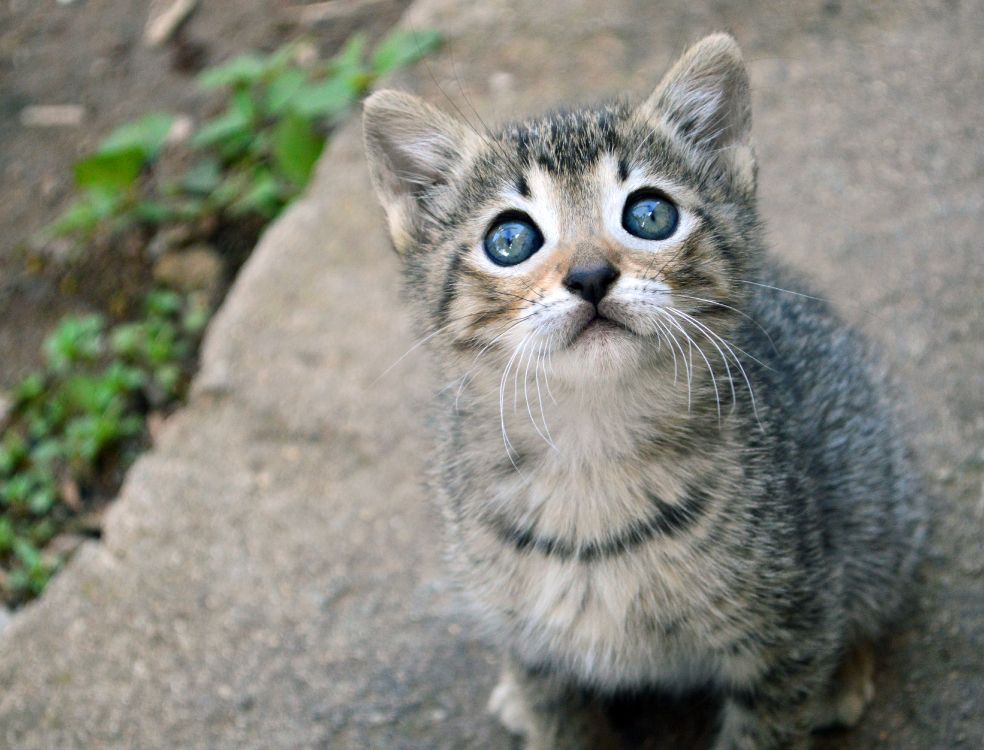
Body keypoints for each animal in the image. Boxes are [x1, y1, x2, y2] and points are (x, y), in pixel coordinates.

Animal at [360, 32, 924, 748]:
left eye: (650, 214)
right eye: (510, 239)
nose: (591, 276)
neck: (592, 448)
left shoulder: (789, 624)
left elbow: (769, 720)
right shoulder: (533, 646)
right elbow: (558, 718)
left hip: (874, 494)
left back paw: (845, 675)